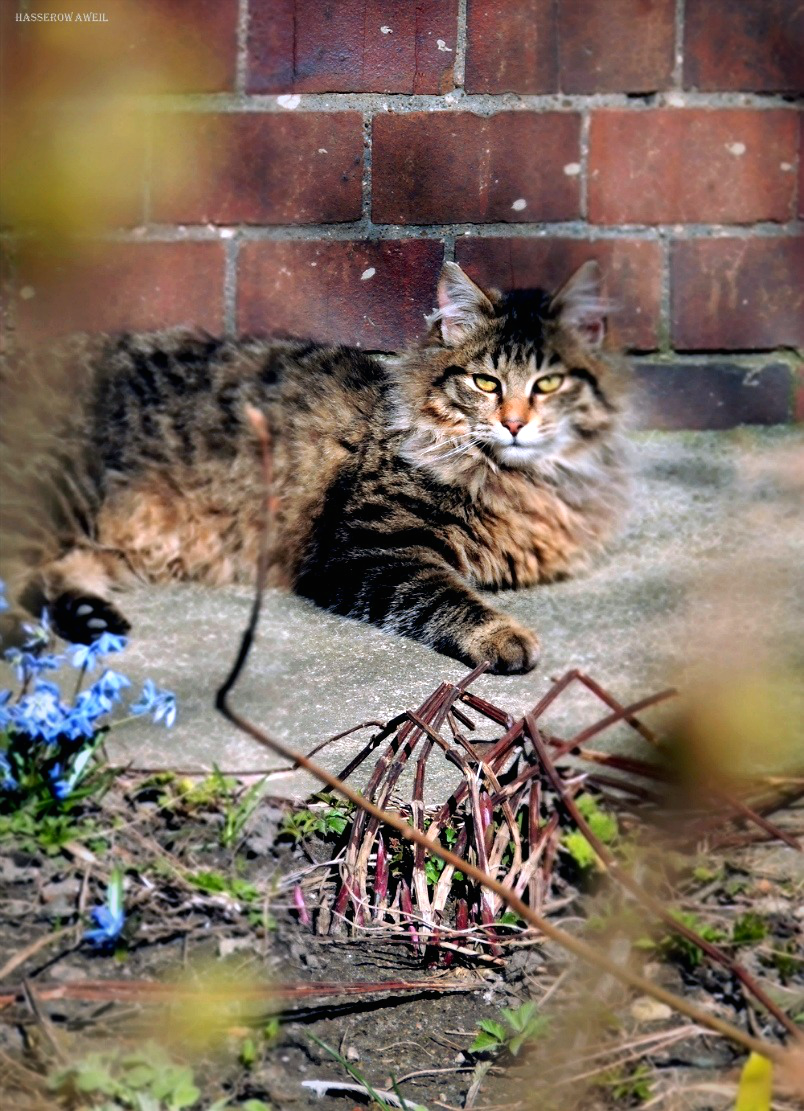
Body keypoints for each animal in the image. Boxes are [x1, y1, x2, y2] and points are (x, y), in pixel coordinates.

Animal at [0, 263, 626, 671]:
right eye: (486, 382)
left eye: (548, 384)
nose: (515, 423)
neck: (521, 481)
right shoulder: (367, 548)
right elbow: (443, 594)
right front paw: (504, 636)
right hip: (53, 493)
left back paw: (94, 622)